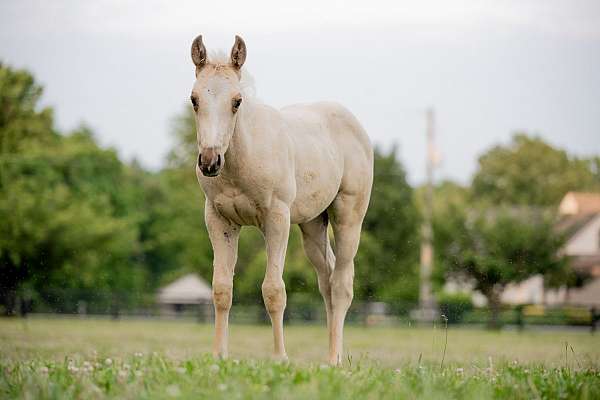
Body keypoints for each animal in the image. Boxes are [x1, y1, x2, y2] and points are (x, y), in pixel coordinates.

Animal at [190, 35, 372, 366]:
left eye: (237, 101)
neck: (244, 155)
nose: (210, 162)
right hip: (312, 225)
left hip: (348, 217)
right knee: (326, 280)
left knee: (341, 284)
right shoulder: (219, 220)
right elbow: (222, 289)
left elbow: (274, 290)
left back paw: (334, 360)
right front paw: (219, 356)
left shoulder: (276, 218)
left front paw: (280, 358)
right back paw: (331, 356)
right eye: (194, 99)